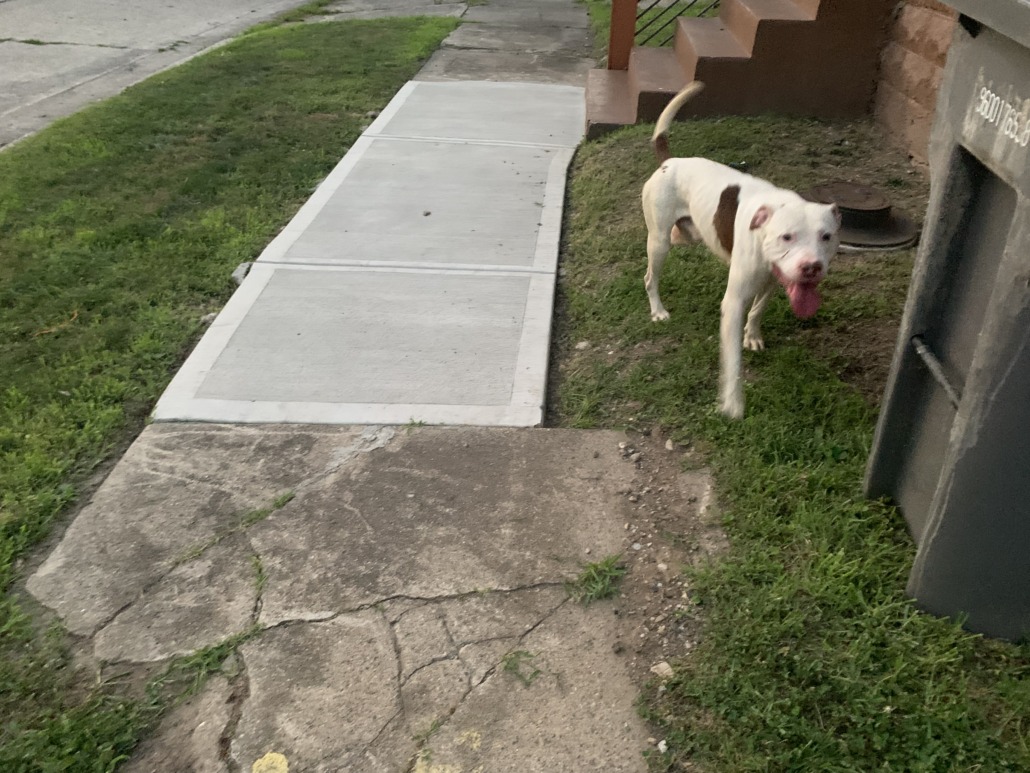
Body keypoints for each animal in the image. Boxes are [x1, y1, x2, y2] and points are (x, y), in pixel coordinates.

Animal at [641, 82, 841, 419]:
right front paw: (733, 402)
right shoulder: (734, 303)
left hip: (687, 234)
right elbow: (732, 360)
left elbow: (758, 310)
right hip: (659, 242)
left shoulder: (773, 281)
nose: (811, 267)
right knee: (650, 277)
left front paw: (753, 336)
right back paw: (657, 310)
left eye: (826, 236)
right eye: (787, 237)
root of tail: (671, 162)